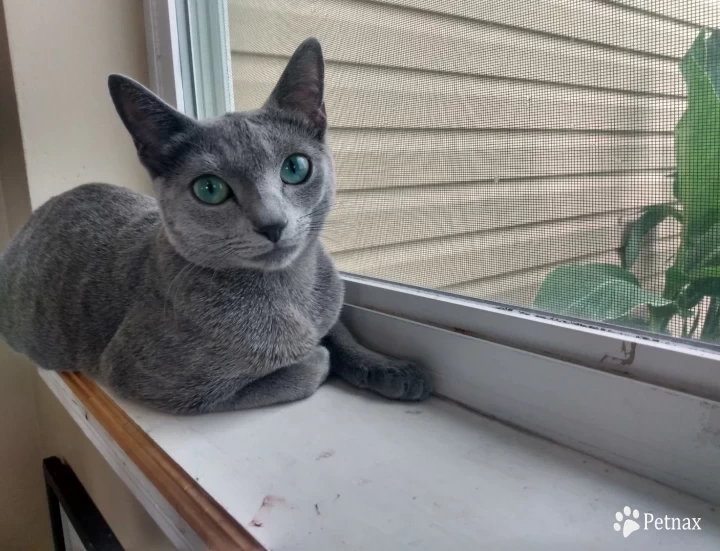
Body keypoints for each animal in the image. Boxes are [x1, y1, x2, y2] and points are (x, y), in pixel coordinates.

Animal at [0, 37, 430, 414]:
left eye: (295, 167)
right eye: (210, 189)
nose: (272, 224)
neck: (291, 293)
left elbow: (338, 327)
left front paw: (392, 369)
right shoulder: (155, 381)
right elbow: (300, 371)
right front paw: (317, 355)